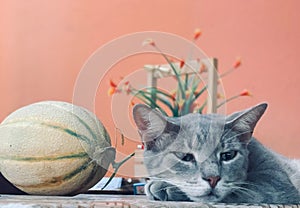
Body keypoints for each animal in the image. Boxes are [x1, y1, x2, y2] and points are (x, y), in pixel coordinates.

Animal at [133, 103, 300, 204]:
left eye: (228, 155)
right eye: (186, 157)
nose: (213, 179)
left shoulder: (276, 184)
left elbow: (236, 193)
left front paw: (163, 187)